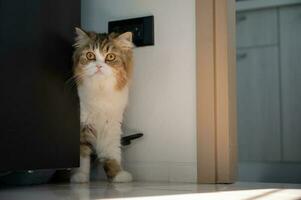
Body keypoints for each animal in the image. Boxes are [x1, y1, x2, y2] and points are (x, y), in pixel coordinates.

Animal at [70, 27, 134, 183]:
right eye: (90, 55)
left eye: (110, 57)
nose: (98, 65)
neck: (100, 90)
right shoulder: (82, 126)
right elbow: (82, 156)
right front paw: (80, 177)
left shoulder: (112, 125)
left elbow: (112, 153)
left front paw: (118, 174)